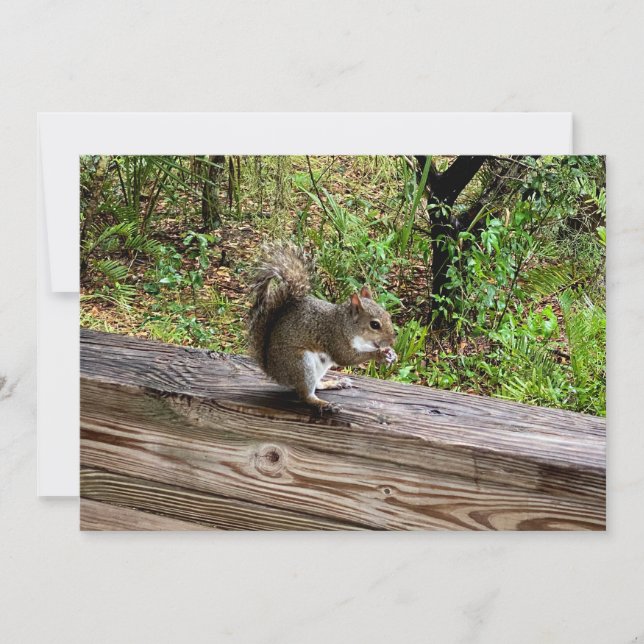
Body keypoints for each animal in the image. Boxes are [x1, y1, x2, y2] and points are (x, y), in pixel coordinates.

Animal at [248, 243, 397, 413]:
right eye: (375, 325)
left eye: (388, 315)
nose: (392, 340)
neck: (344, 324)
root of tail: (273, 371)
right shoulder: (335, 338)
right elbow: (346, 358)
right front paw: (379, 355)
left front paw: (390, 353)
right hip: (300, 364)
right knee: (306, 395)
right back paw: (323, 404)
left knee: (316, 385)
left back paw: (333, 383)